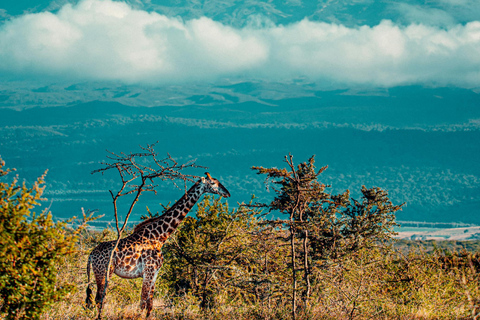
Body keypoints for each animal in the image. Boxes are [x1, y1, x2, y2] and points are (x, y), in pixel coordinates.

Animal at [85, 174, 230, 318]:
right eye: (213, 183)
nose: (227, 193)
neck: (159, 237)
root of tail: (91, 254)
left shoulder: (155, 273)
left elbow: (150, 305)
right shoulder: (148, 271)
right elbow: (143, 302)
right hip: (103, 272)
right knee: (98, 298)